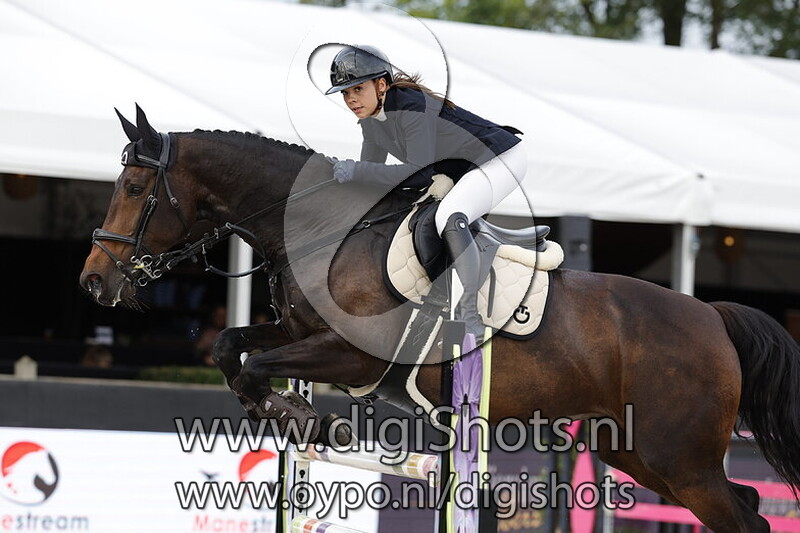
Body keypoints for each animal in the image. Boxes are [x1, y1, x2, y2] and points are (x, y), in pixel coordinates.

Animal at [80, 106, 800, 532]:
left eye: (136, 190)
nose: (94, 280)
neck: (321, 230)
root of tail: (712, 316)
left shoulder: (354, 356)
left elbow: (255, 361)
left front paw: (310, 419)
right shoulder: (301, 334)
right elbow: (233, 348)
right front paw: (293, 416)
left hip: (679, 457)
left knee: (743, 517)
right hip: (636, 450)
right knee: (747, 507)